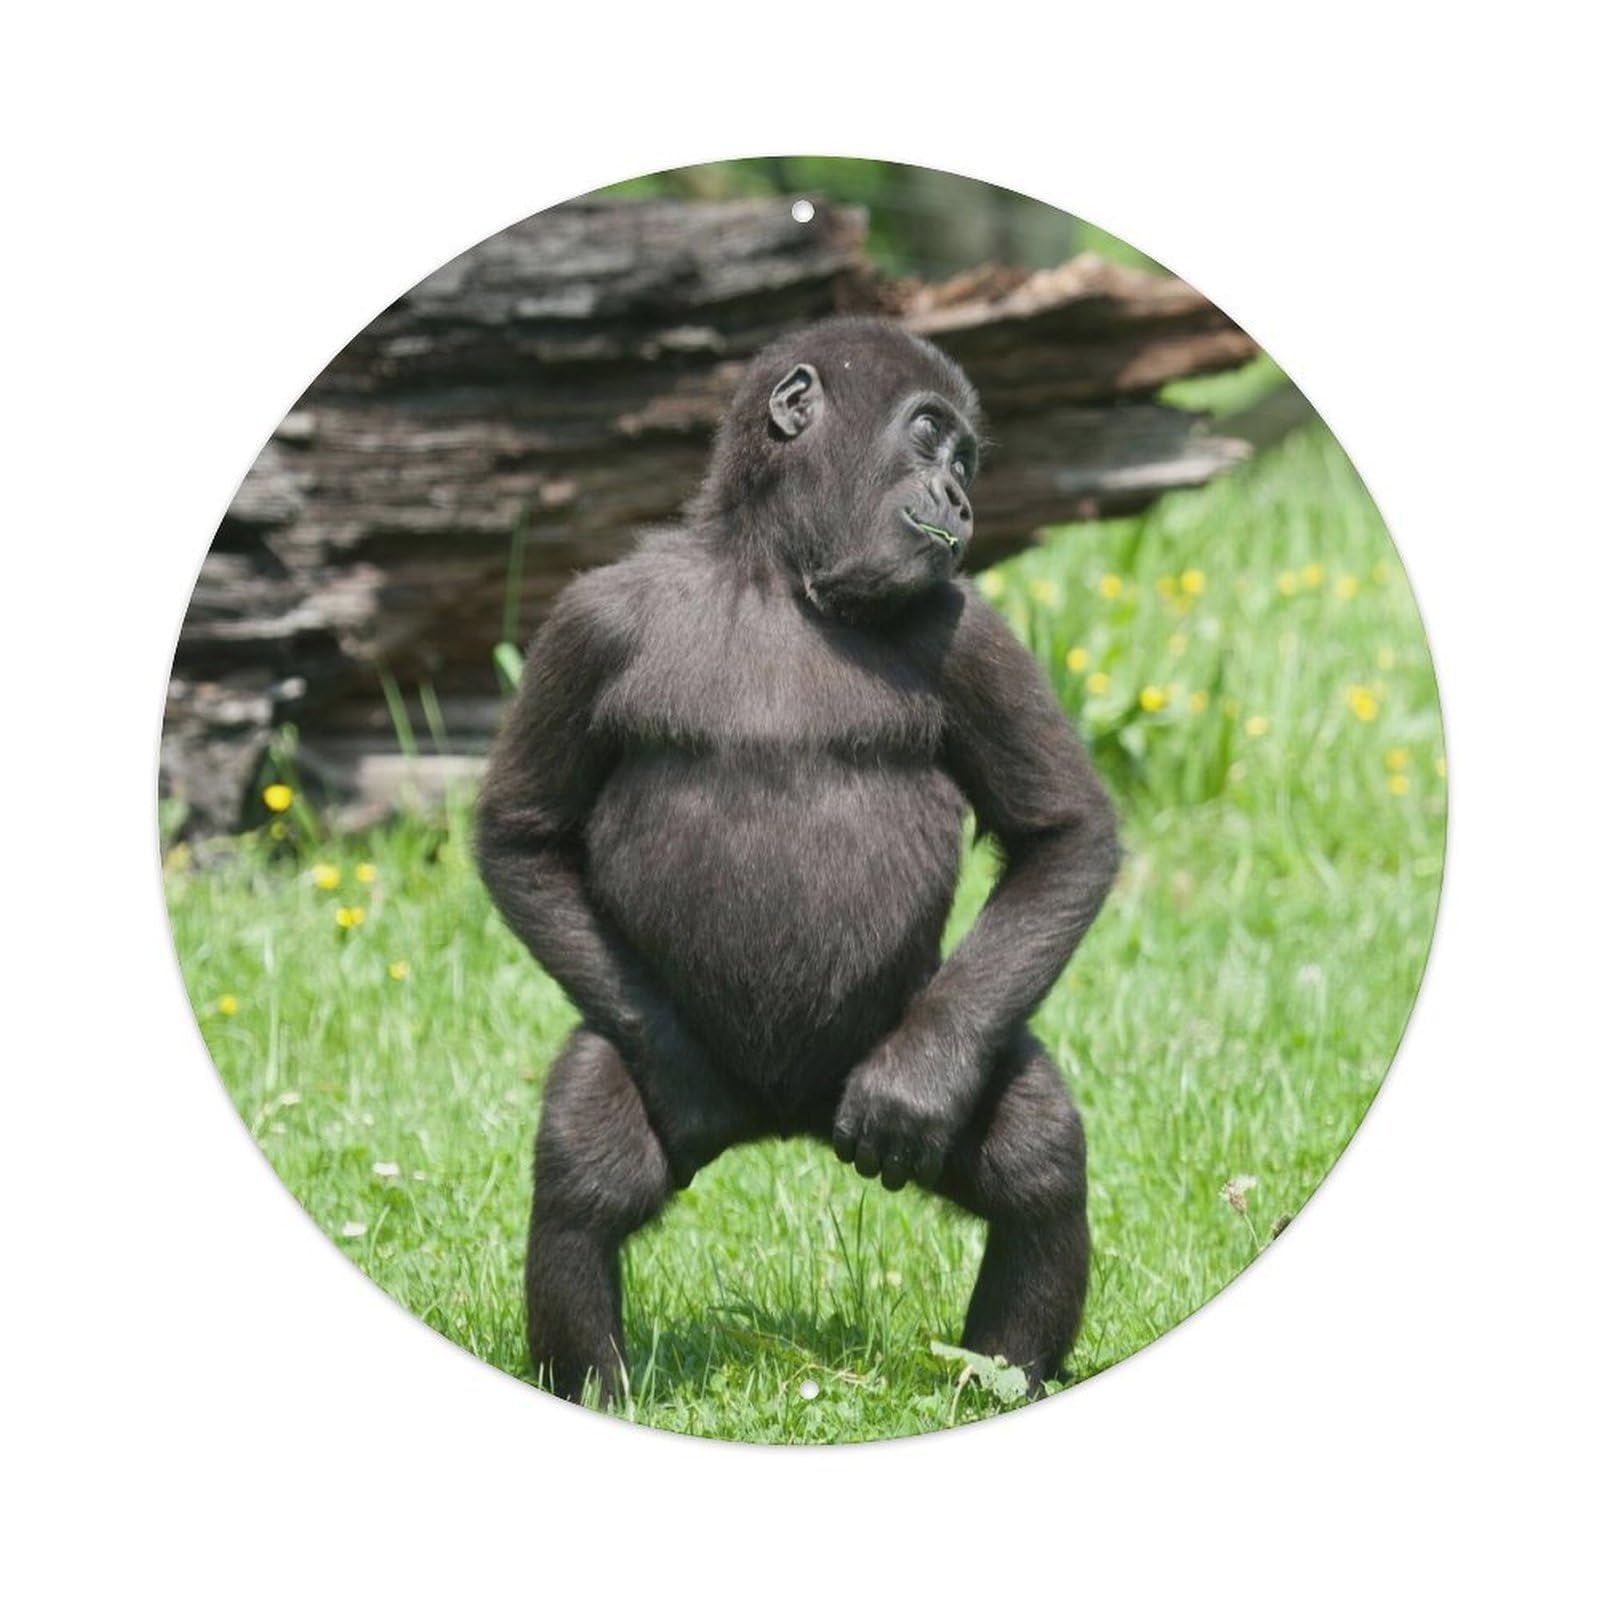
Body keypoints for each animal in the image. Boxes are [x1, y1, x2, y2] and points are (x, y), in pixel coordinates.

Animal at [475, 316, 1120, 1404]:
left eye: (966, 461)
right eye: (930, 436)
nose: (961, 500)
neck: (778, 575)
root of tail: (782, 1118)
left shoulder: (968, 626)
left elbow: (1063, 835)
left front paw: (917, 1086)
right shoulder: (590, 620)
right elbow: (522, 833)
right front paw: (680, 1080)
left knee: (1034, 1151)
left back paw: (994, 1381)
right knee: (585, 1162)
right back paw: (600, 1387)